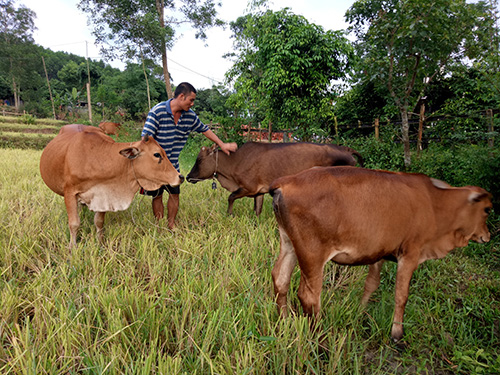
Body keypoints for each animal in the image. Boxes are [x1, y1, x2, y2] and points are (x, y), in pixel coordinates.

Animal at [39, 125, 184, 248]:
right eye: (157, 154)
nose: (180, 177)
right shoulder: (70, 192)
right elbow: (74, 223)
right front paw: (72, 247)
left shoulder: (104, 195)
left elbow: (99, 222)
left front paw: (100, 243)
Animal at [186, 142, 362, 217]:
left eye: (199, 160)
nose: (188, 177)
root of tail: (346, 149)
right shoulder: (258, 192)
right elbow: (257, 210)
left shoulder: (248, 188)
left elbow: (231, 197)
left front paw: (229, 215)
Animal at [270, 166, 492, 342]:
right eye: (488, 209)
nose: (487, 236)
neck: (434, 203)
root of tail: (285, 181)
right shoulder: (410, 254)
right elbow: (401, 295)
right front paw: (397, 333)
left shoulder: (379, 253)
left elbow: (371, 284)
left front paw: (360, 311)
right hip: (312, 255)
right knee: (308, 296)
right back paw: (320, 335)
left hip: (289, 243)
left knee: (280, 279)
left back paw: (285, 321)